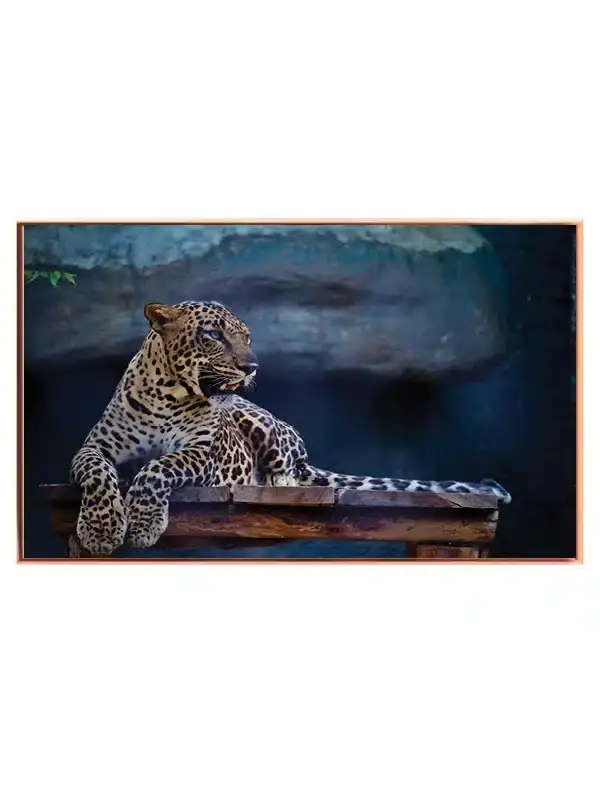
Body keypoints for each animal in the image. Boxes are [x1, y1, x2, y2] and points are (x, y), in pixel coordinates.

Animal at [69, 300, 511, 556]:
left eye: (247, 337)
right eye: (213, 335)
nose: (252, 366)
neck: (167, 392)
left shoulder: (203, 455)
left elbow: (158, 468)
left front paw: (142, 524)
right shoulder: (93, 448)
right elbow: (98, 473)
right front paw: (101, 530)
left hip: (266, 427)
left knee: (291, 470)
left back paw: (279, 483)